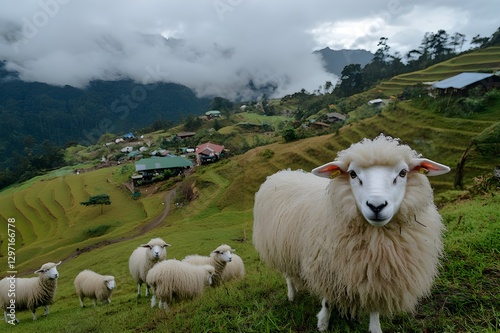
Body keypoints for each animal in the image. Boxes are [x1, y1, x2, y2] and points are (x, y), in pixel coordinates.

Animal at [252, 135, 452, 332]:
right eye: (352, 174)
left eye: (403, 173)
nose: (376, 206)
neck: (377, 240)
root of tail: (283, 172)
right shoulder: (327, 268)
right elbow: (327, 301)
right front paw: (323, 323)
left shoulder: (376, 276)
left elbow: (374, 305)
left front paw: (375, 327)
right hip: (278, 246)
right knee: (287, 274)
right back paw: (292, 294)